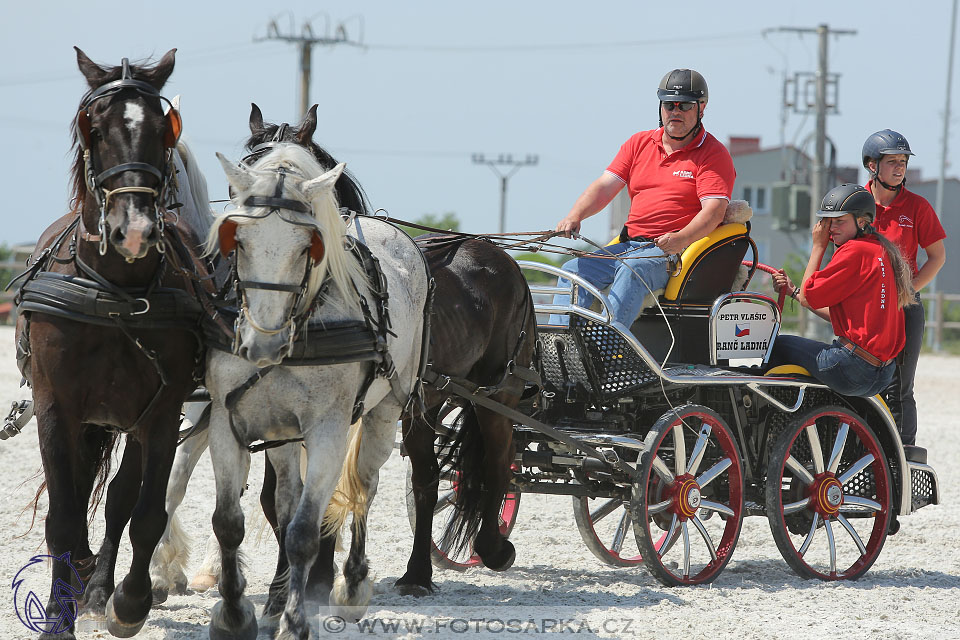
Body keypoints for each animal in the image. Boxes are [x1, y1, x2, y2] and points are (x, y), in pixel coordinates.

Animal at [15, 50, 206, 640]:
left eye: (164, 132)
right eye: (94, 130)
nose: (136, 231)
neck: (116, 292)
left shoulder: (162, 410)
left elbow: (144, 513)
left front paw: (130, 602)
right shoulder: (56, 406)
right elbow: (63, 513)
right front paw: (58, 615)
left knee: (120, 498)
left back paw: (98, 587)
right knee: (78, 493)